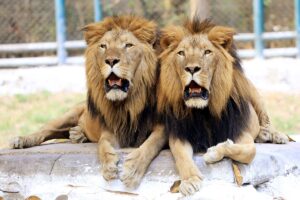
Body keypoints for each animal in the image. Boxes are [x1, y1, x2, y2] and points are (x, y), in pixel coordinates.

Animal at [10, 16, 166, 189]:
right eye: (103, 46)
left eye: (128, 45)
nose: (110, 60)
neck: (128, 102)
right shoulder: (110, 130)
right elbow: (103, 145)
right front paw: (108, 166)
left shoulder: (161, 128)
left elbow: (151, 145)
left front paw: (133, 170)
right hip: (68, 115)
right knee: (46, 130)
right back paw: (22, 140)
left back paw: (78, 134)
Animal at [157, 18, 288, 195]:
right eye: (181, 53)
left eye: (207, 52)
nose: (191, 68)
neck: (204, 111)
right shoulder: (180, 134)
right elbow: (182, 158)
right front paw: (190, 180)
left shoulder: (241, 132)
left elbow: (248, 151)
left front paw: (215, 151)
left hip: (254, 93)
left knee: (265, 119)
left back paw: (273, 134)